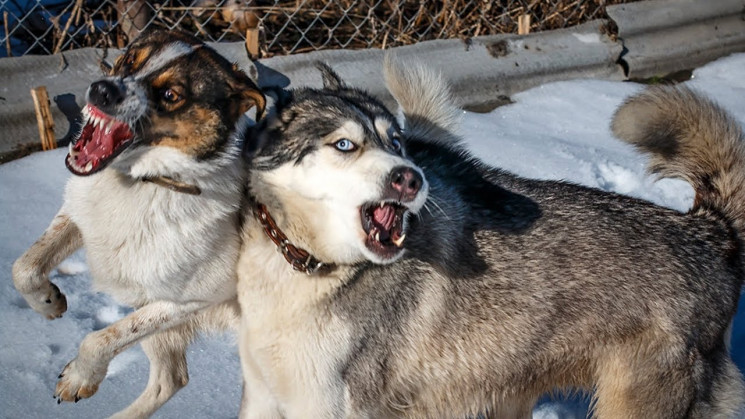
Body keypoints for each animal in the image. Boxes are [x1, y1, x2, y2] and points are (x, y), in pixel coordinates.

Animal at [11, 28, 264, 416]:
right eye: (130, 59)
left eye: (171, 94)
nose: (101, 89)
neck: (144, 182)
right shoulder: (79, 216)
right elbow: (23, 267)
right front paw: (47, 302)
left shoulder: (193, 298)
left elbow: (102, 338)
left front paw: (79, 377)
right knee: (171, 378)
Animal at [237, 60, 744, 419]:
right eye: (345, 145)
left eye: (396, 143)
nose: (411, 178)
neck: (306, 267)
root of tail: (709, 230)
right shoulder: (262, 398)